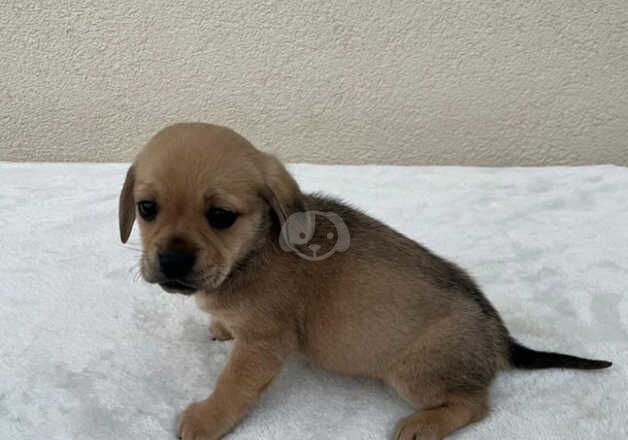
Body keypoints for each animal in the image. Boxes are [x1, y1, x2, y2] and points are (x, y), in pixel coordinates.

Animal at [120, 123, 612, 440]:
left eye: (221, 216)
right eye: (147, 209)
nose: (172, 261)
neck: (253, 252)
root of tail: (496, 336)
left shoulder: (263, 344)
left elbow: (232, 387)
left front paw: (206, 420)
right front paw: (221, 326)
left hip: (415, 375)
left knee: (476, 404)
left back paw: (423, 425)